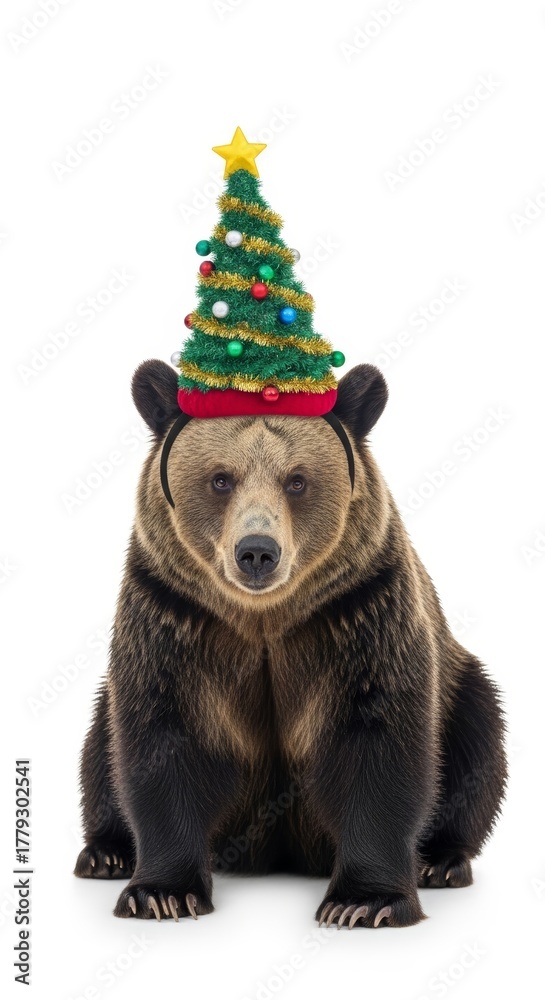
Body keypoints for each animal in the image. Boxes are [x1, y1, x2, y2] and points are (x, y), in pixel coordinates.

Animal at [74, 359, 507, 928]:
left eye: (297, 480)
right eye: (220, 478)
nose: (257, 552)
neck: (264, 619)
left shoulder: (357, 617)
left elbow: (378, 742)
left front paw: (363, 902)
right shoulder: (176, 621)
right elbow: (163, 739)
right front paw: (161, 893)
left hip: (459, 688)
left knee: (478, 742)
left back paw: (441, 861)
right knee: (98, 749)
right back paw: (105, 853)